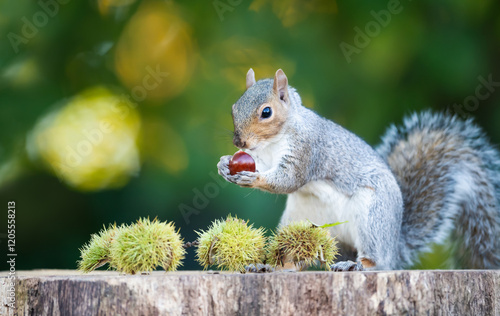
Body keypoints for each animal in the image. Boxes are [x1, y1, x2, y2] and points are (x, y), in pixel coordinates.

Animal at [217, 68, 500, 270]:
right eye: (233, 108)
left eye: (266, 112)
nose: (239, 142)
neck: (273, 141)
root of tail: (393, 247)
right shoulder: (261, 156)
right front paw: (224, 164)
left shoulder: (308, 149)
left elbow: (288, 180)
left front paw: (253, 178)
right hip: (297, 221)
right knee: (294, 255)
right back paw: (269, 266)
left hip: (372, 215)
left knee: (375, 258)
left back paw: (359, 264)